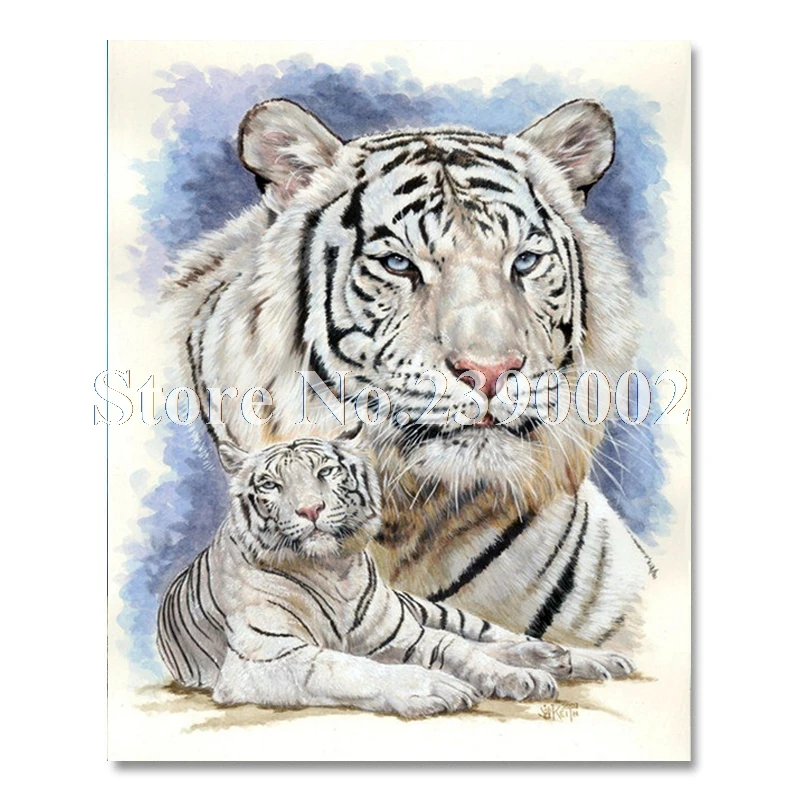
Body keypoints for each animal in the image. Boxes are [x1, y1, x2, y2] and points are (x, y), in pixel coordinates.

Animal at [157, 437, 635, 717]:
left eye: (325, 472)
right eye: (271, 485)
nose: (310, 509)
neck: (333, 570)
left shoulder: (405, 634)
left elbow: (460, 650)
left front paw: (518, 678)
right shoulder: (266, 657)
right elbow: (349, 668)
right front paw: (436, 689)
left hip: (434, 611)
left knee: (497, 637)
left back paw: (579, 659)